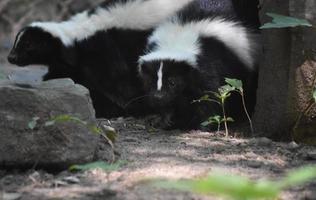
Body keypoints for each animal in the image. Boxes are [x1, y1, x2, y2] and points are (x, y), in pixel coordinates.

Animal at [6, 0, 195, 117]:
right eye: (17, 42)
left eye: (28, 45)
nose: (10, 57)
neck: (76, 36)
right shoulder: (71, 63)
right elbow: (64, 75)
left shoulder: (104, 51)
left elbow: (120, 84)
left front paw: (130, 108)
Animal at [138, 0, 260, 129]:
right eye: (150, 81)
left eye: (173, 82)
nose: (158, 96)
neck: (178, 38)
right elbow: (172, 102)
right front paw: (164, 119)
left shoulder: (212, 61)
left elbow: (210, 95)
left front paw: (204, 124)